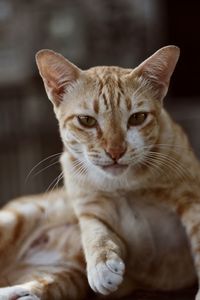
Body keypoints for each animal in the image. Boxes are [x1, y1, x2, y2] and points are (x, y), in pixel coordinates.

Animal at [0, 45, 200, 300]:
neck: (124, 185)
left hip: (63, 277)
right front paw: (102, 266)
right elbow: (95, 233)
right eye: (86, 120)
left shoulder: (192, 200)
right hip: (14, 219)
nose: (115, 151)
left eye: (137, 118)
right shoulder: (89, 209)